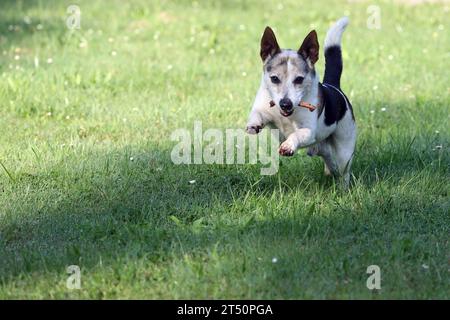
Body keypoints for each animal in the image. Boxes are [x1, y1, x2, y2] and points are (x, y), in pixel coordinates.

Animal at [246, 16, 356, 188]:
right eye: (274, 79)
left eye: (299, 79)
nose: (285, 104)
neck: (286, 115)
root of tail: (334, 87)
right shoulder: (264, 109)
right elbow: (257, 114)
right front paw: (254, 124)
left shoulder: (309, 132)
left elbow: (296, 134)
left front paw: (288, 146)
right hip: (323, 148)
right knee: (330, 160)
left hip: (344, 147)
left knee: (344, 171)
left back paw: (343, 188)